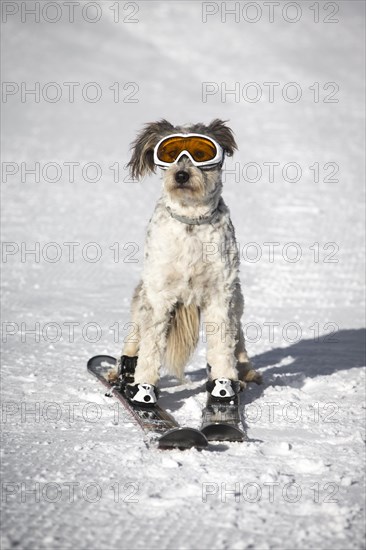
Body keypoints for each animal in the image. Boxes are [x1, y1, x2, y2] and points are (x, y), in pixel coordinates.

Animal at [113, 121, 262, 406]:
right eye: (169, 154)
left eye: (201, 153)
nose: (181, 175)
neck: (191, 222)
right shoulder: (159, 294)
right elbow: (150, 346)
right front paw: (143, 390)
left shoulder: (220, 292)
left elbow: (222, 343)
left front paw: (223, 387)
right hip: (142, 294)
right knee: (135, 335)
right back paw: (121, 372)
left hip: (237, 297)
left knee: (237, 337)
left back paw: (244, 372)